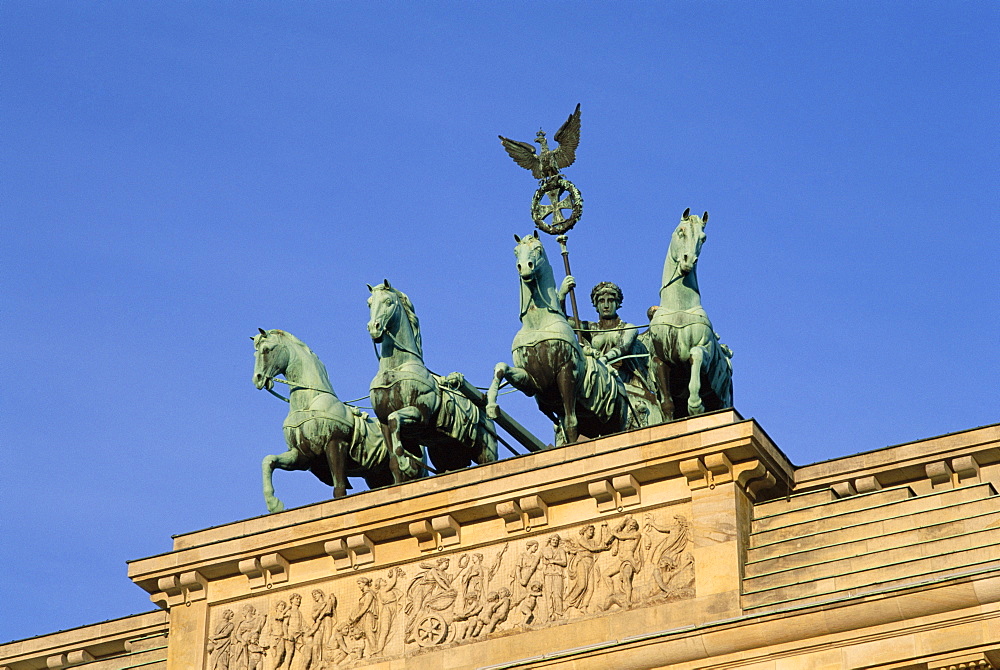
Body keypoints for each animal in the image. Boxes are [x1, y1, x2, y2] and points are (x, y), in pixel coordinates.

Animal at [252, 328, 412, 512]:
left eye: (266, 350)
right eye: (255, 353)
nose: (257, 379)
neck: (308, 404)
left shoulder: (335, 443)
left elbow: (339, 488)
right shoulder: (302, 455)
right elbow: (269, 460)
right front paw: (274, 504)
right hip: (377, 475)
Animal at [368, 284, 496, 484]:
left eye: (388, 301)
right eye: (369, 303)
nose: (374, 328)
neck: (397, 368)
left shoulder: (419, 414)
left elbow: (395, 419)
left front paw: (406, 462)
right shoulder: (383, 423)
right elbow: (393, 461)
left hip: (485, 452)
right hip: (446, 453)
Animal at [482, 232, 624, 446]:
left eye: (538, 248)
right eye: (515, 251)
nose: (524, 267)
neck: (538, 324)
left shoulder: (567, 372)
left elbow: (571, 421)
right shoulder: (533, 381)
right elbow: (501, 368)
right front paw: (491, 405)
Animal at [644, 210, 732, 420]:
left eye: (703, 237)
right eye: (681, 231)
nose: (688, 260)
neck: (679, 309)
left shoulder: (702, 350)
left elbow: (696, 354)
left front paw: (695, 405)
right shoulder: (659, 360)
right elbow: (667, 405)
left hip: (722, 398)